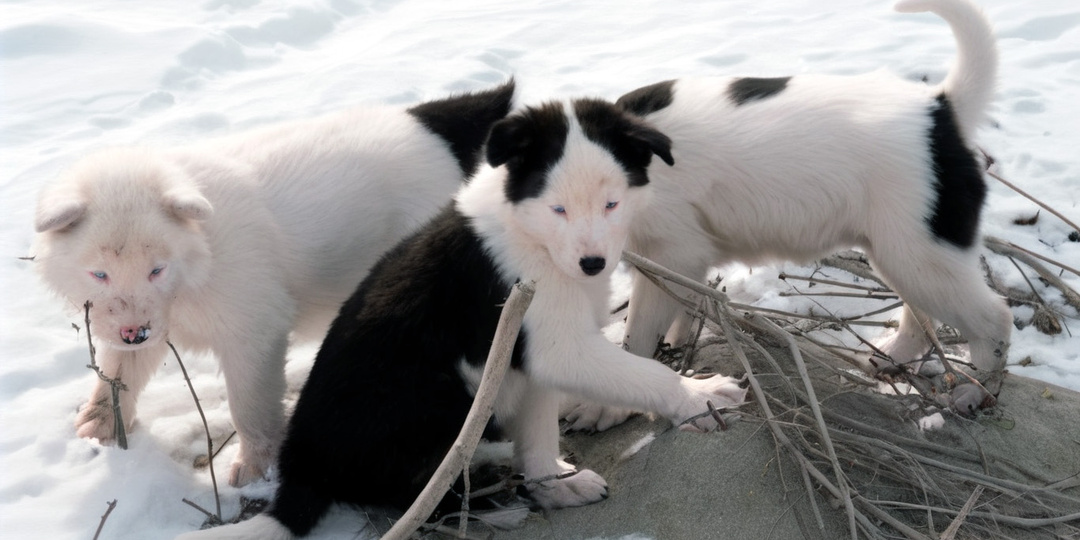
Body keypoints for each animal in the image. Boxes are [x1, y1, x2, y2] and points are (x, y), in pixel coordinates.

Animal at [29, 82, 509, 488]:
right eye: (100, 273)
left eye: (157, 269)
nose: (135, 332)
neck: (199, 257)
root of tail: (427, 123)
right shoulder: (142, 323)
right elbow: (118, 371)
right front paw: (102, 422)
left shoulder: (252, 332)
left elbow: (250, 405)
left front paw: (256, 465)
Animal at [179, 97, 751, 540]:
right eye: (558, 209)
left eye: (612, 204)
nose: (592, 264)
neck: (532, 237)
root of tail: (303, 475)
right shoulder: (556, 345)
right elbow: (647, 372)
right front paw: (699, 396)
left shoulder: (530, 353)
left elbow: (540, 436)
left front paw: (556, 486)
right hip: (439, 393)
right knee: (421, 495)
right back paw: (493, 501)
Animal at [617, 0, 1010, 375]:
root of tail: (940, 108)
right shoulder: (681, 262)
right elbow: (679, 313)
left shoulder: (673, 253)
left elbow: (638, 334)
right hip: (906, 256)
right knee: (922, 320)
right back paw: (892, 359)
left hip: (919, 256)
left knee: (994, 320)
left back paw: (979, 389)